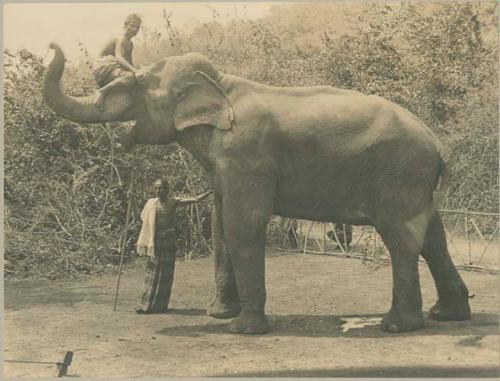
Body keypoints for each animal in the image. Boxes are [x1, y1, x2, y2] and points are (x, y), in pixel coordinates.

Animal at [42, 42, 468, 332]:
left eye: (142, 82)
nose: (52, 46)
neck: (221, 85)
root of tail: (437, 144)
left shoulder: (245, 153)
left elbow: (242, 223)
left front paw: (242, 328)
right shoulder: (225, 164)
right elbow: (220, 223)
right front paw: (218, 315)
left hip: (400, 172)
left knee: (401, 237)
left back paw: (397, 325)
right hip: (413, 179)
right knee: (433, 236)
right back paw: (447, 315)